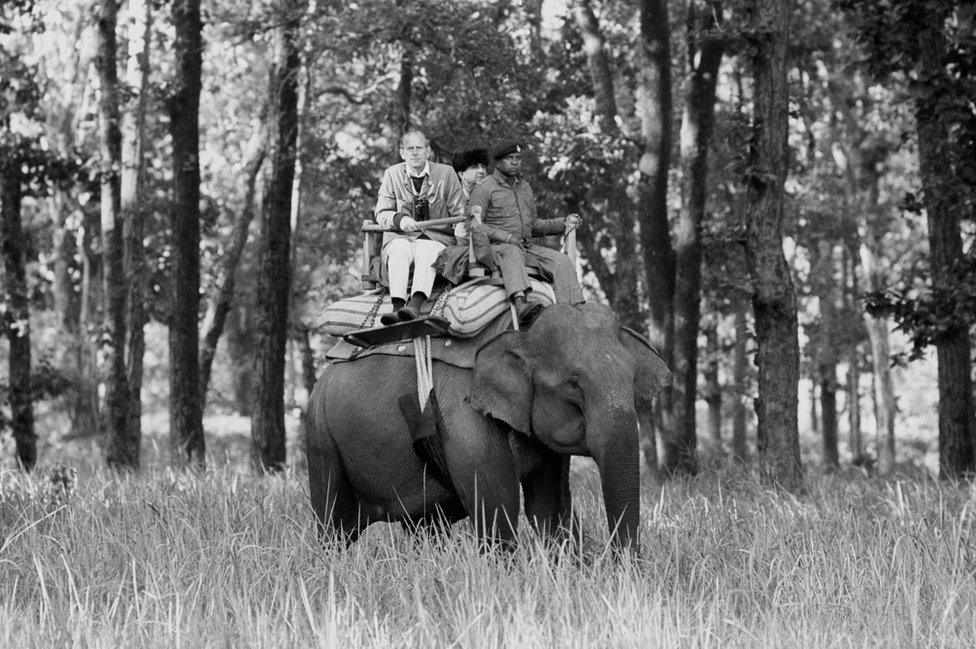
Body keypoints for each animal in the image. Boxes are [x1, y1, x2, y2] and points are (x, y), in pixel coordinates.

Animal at [304, 302, 672, 548]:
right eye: (573, 384)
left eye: (633, 377)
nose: (621, 567)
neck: (518, 330)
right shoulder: (464, 414)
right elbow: (496, 506)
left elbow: (548, 509)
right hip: (321, 435)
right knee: (335, 526)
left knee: (424, 527)